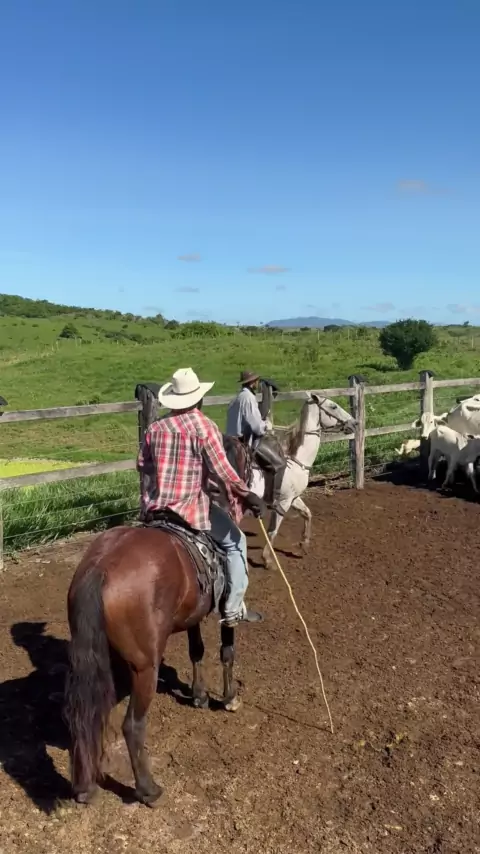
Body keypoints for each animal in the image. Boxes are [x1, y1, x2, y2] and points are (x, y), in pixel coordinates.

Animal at [64, 520, 244, 808]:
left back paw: (85, 788)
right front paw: (229, 698)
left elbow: (196, 649)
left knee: (86, 716)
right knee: (132, 726)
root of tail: (100, 568)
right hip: (145, 667)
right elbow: (227, 649)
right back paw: (149, 790)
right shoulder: (228, 608)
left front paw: (199, 695)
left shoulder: (193, 615)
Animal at [223, 394, 355, 568]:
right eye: (333, 406)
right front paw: (267, 559)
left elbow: (307, 513)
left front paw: (304, 544)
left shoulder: (294, 498)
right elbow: (273, 530)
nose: (354, 422)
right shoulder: (283, 502)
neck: (296, 461)